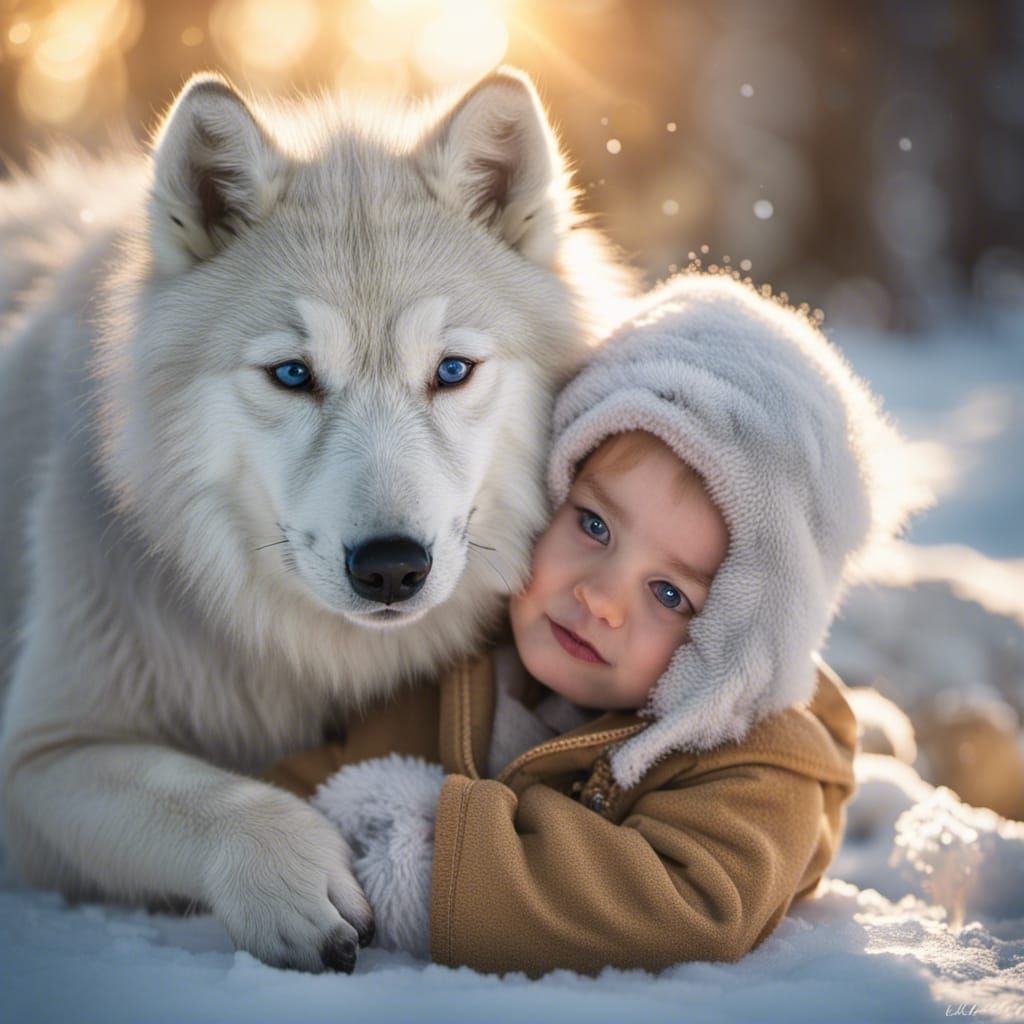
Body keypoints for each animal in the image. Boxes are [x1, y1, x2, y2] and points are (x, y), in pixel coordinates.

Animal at [0, 68, 630, 972]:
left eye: (451, 371)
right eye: (293, 375)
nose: (391, 566)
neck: (311, 658)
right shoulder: (36, 760)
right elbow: (197, 791)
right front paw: (287, 876)